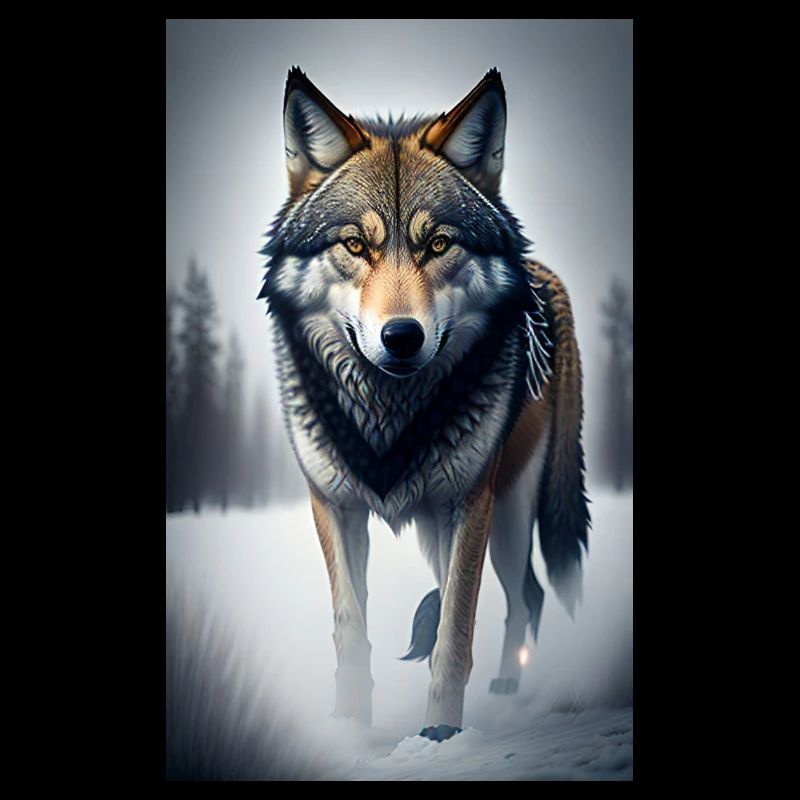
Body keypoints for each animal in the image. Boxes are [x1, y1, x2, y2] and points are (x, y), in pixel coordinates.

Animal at [258, 67, 590, 741]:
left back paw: (508, 687)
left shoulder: (469, 503)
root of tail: (547, 276)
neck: (390, 414)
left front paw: (440, 735)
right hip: (448, 528)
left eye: (437, 244)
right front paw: (350, 730)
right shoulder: (334, 505)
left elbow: (455, 634)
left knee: (528, 594)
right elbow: (351, 629)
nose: (402, 337)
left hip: (505, 512)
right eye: (355, 245)